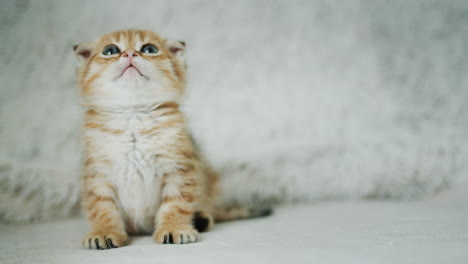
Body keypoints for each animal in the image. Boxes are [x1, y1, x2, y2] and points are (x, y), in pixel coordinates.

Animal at [73, 29, 270, 250]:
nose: (130, 53)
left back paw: (201, 218)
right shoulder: (97, 173)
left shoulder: (179, 167)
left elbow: (176, 203)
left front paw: (174, 228)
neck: (133, 115)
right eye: (110, 50)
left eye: (149, 49)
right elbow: (102, 208)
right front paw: (104, 232)